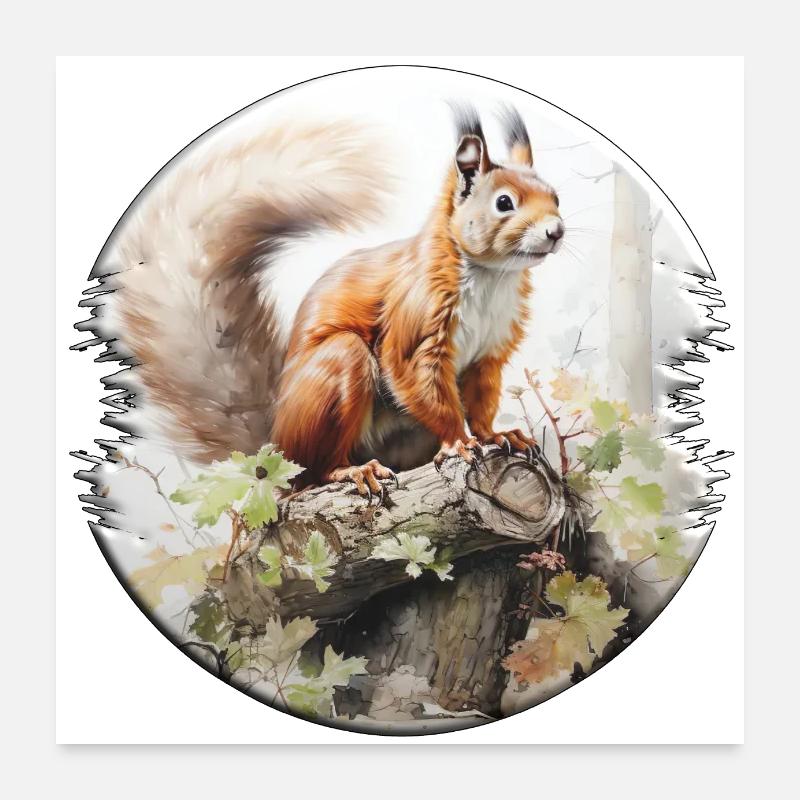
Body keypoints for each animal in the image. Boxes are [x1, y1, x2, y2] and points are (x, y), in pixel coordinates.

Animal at [112, 104, 564, 499]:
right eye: (503, 203)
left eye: (555, 196)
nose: (556, 231)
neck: (491, 278)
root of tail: (277, 454)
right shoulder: (415, 321)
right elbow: (416, 377)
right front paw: (458, 441)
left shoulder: (490, 351)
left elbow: (482, 399)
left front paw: (496, 434)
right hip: (337, 373)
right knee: (317, 469)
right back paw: (353, 471)